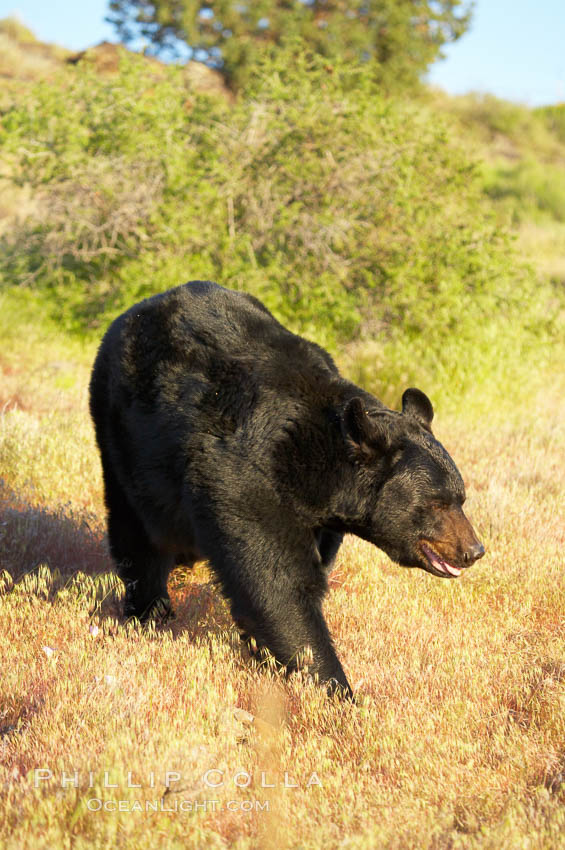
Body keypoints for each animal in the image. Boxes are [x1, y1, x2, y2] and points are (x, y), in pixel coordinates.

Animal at [90, 282, 482, 692]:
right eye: (437, 502)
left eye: (460, 498)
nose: (473, 550)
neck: (317, 465)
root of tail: (138, 309)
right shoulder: (248, 479)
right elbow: (277, 585)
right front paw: (332, 685)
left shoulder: (321, 520)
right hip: (124, 436)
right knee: (137, 532)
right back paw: (149, 611)